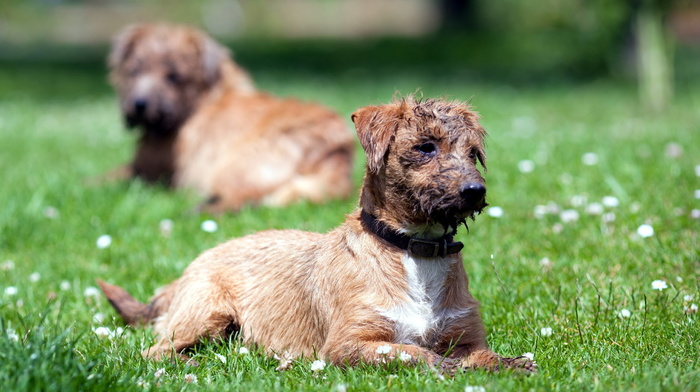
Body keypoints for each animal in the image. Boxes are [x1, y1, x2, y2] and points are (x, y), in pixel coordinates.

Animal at [98, 97, 536, 374]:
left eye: (472, 153)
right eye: (426, 147)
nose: (475, 191)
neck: (415, 250)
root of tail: (186, 273)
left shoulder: (467, 338)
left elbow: (483, 356)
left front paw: (508, 365)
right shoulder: (347, 344)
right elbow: (411, 352)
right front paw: (448, 367)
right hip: (205, 314)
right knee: (154, 350)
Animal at [109, 23, 356, 211]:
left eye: (174, 77)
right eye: (134, 71)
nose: (139, 105)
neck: (203, 97)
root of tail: (335, 146)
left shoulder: (147, 168)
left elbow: (112, 175)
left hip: (235, 167)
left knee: (240, 199)